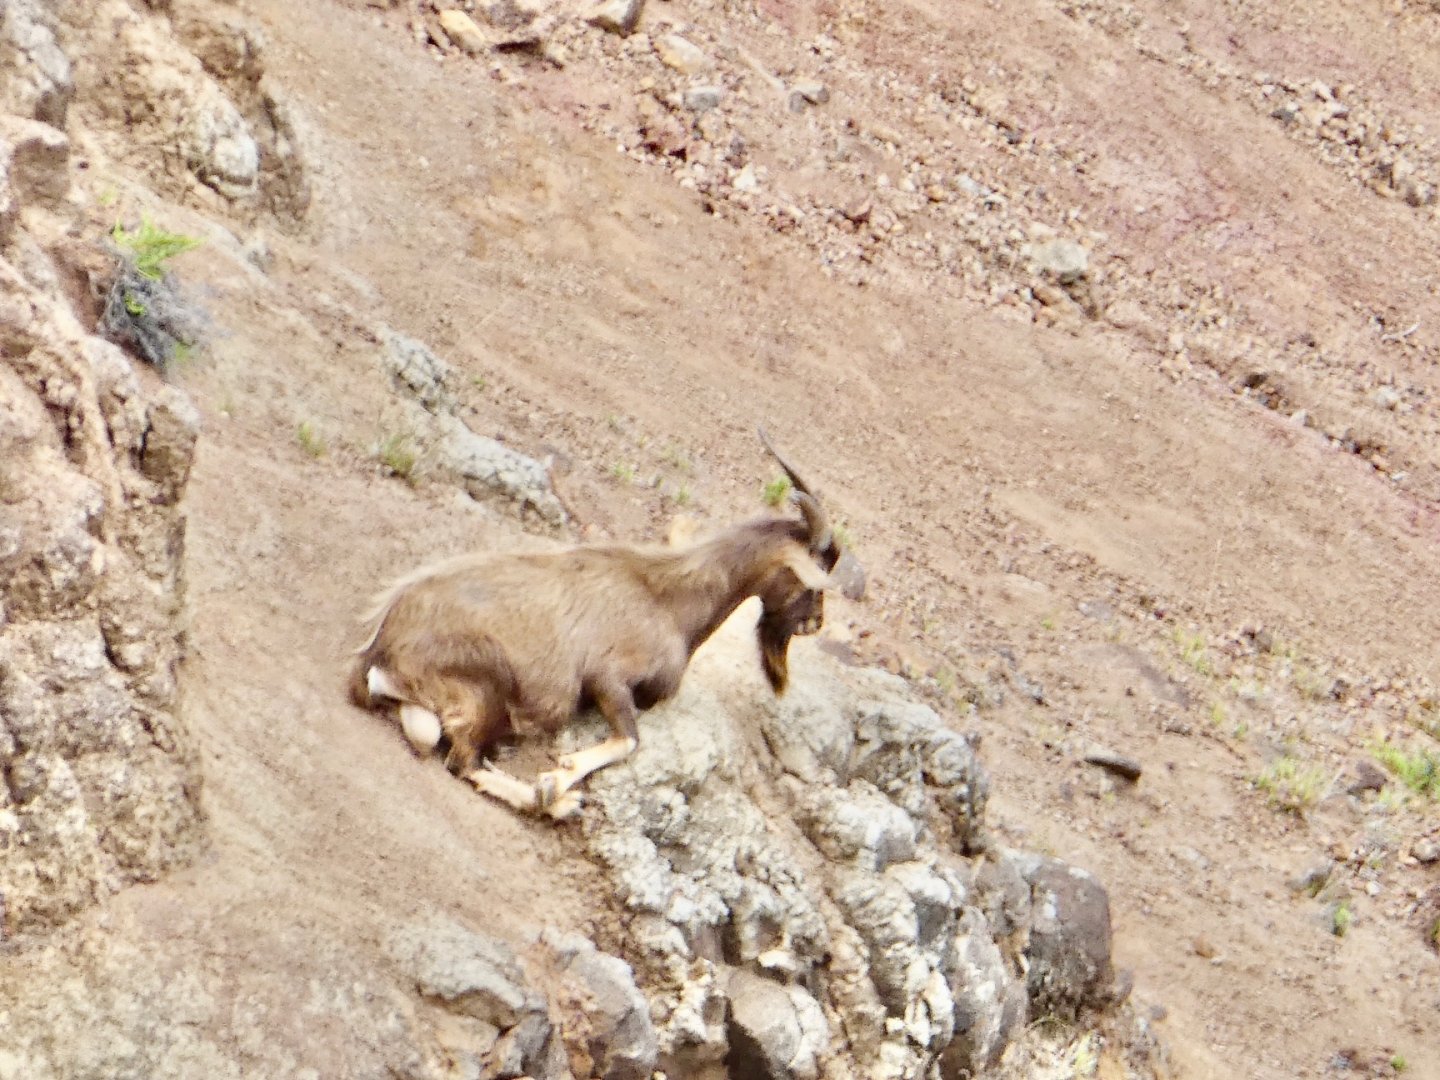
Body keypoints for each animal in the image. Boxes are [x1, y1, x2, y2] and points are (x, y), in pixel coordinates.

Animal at [349, 429, 858, 819]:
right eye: (814, 578)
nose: (815, 623)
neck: (667, 597)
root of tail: (380, 649)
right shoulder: (608, 678)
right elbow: (630, 739)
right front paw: (558, 775)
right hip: (484, 692)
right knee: (463, 760)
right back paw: (557, 802)